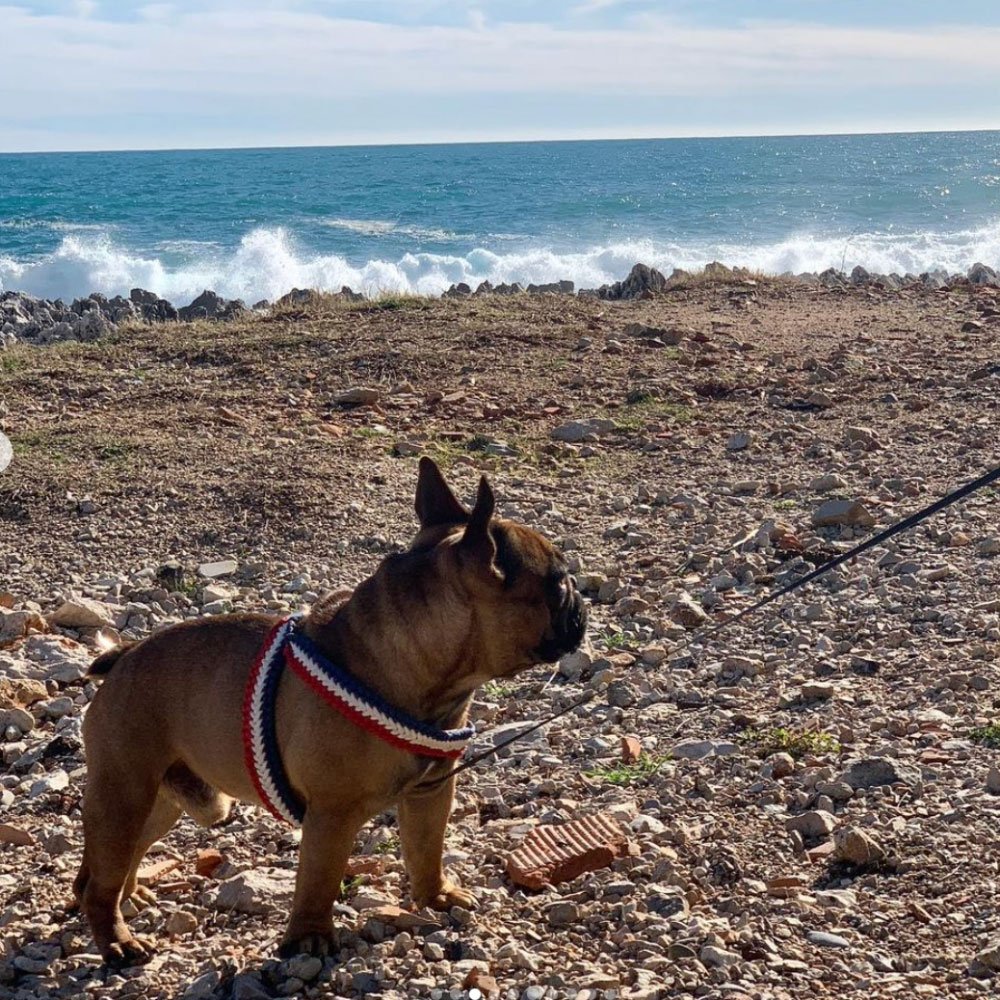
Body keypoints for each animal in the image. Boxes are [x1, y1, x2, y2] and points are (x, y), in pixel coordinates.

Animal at [76, 458, 584, 964]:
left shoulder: (431, 793)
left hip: (160, 801)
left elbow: (427, 848)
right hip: (125, 794)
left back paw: (129, 897)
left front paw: (435, 896)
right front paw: (310, 938)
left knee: (111, 862)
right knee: (103, 879)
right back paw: (118, 939)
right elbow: (320, 879)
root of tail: (125, 656)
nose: (580, 596)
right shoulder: (332, 815)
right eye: (558, 583)